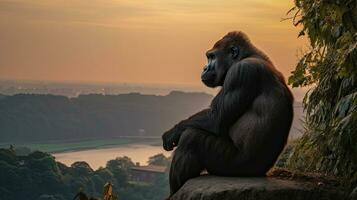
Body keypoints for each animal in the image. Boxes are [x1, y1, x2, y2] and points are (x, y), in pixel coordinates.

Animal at [163, 30, 294, 195]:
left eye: (212, 57)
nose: (204, 68)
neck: (247, 56)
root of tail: (263, 172)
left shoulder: (241, 72)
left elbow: (215, 118)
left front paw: (173, 132)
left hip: (236, 166)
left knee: (191, 138)